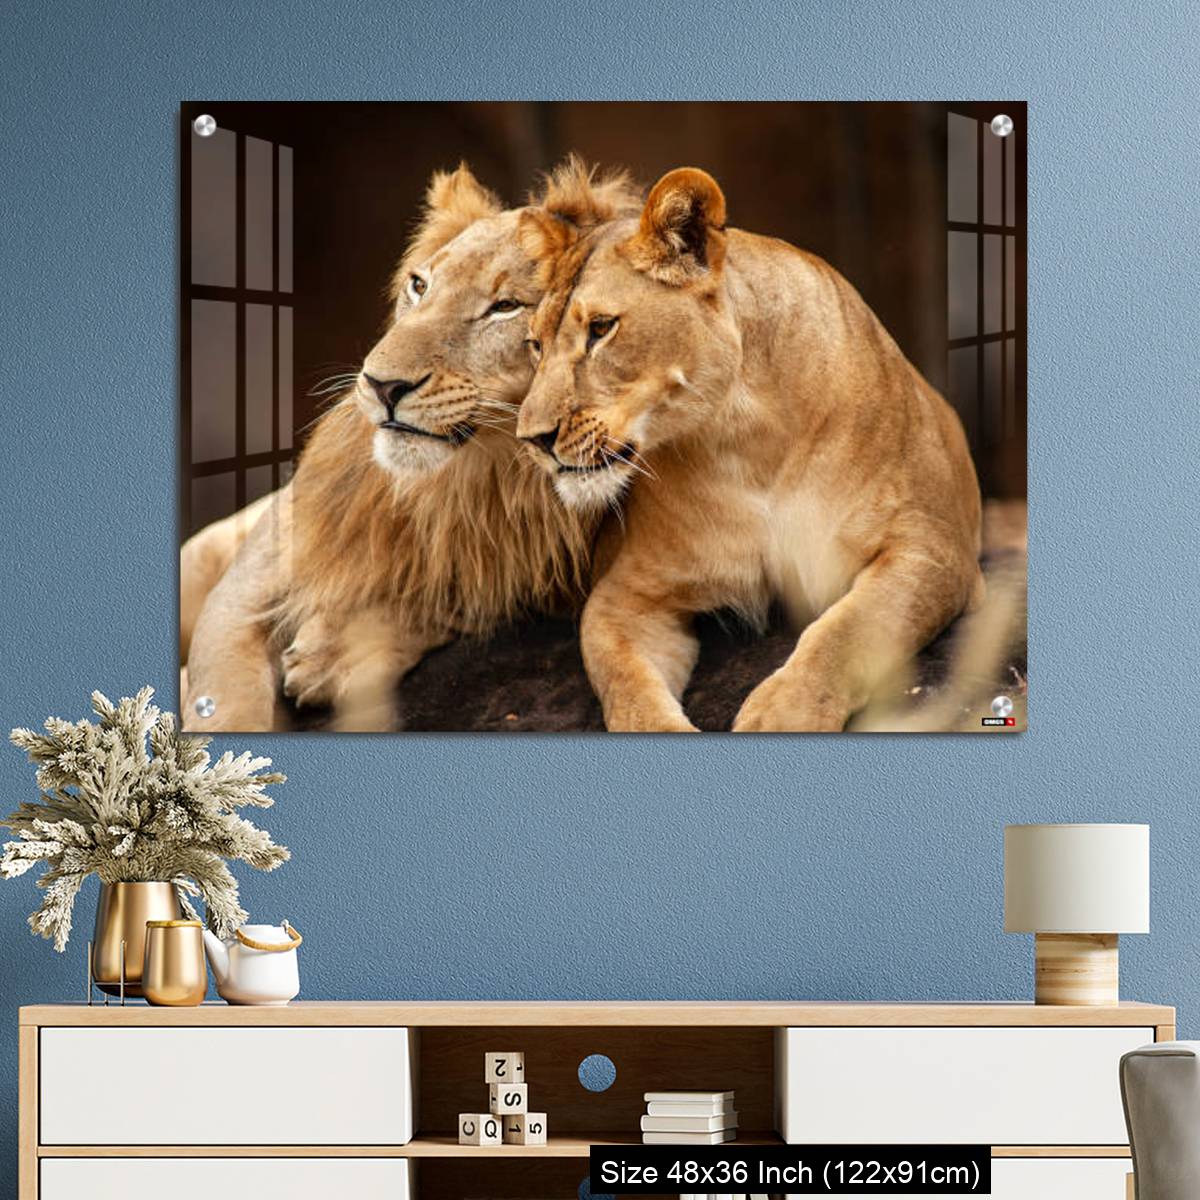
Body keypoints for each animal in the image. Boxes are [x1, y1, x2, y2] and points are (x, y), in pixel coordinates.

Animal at [182, 159, 636, 732]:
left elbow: (456, 596)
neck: (475, 477)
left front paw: (334, 653)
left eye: (505, 307)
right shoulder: (244, 589)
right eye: (420, 286)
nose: (382, 385)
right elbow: (226, 707)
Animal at [516, 166, 984, 732]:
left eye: (602, 328)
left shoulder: (934, 547)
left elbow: (848, 630)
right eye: (535, 345)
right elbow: (626, 686)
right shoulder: (626, 595)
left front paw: (783, 714)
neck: (745, 438)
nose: (531, 439)